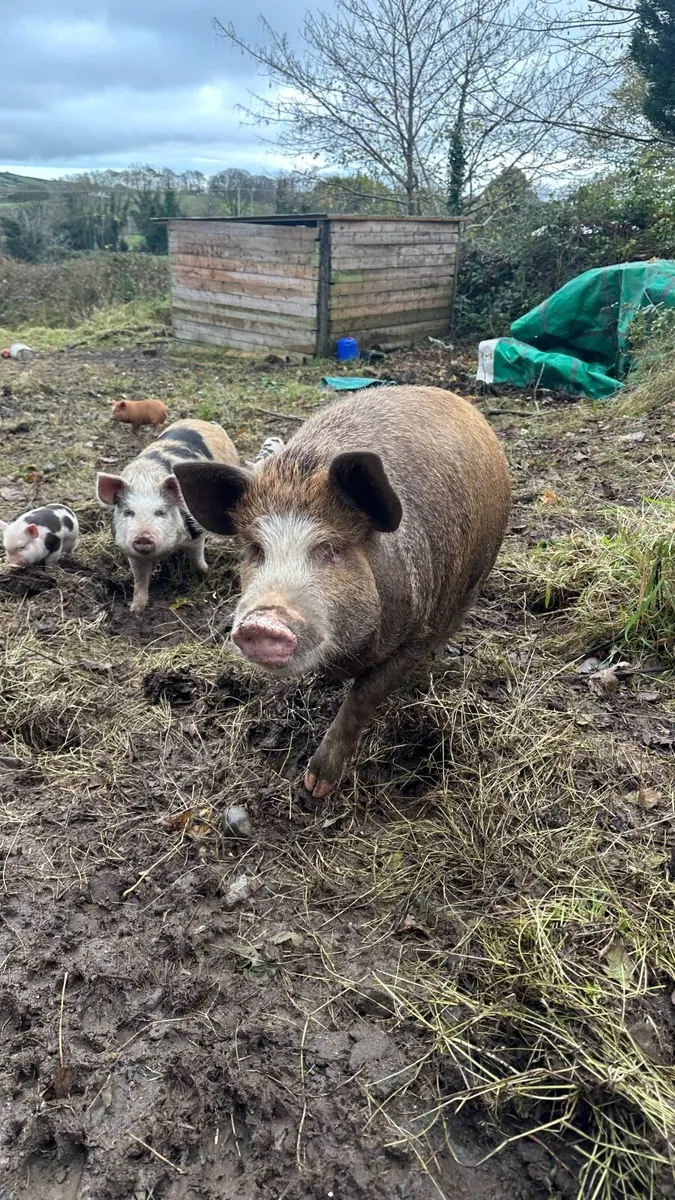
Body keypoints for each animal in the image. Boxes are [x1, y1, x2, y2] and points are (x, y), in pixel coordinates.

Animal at [96, 419, 239, 614]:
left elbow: (197, 560)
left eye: (161, 512)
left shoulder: (195, 533)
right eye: (129, 512)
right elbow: (140, 580)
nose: (143, 537)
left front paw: (205, 578)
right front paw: (135, 610)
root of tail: (204, 422)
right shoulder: (131, 551)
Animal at [174, 386, 511, 799]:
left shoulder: (419, 631)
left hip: (474, 577)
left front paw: (316, 787)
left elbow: (363, 697)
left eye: (331, 549)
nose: (262, 623)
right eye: (255, 549)